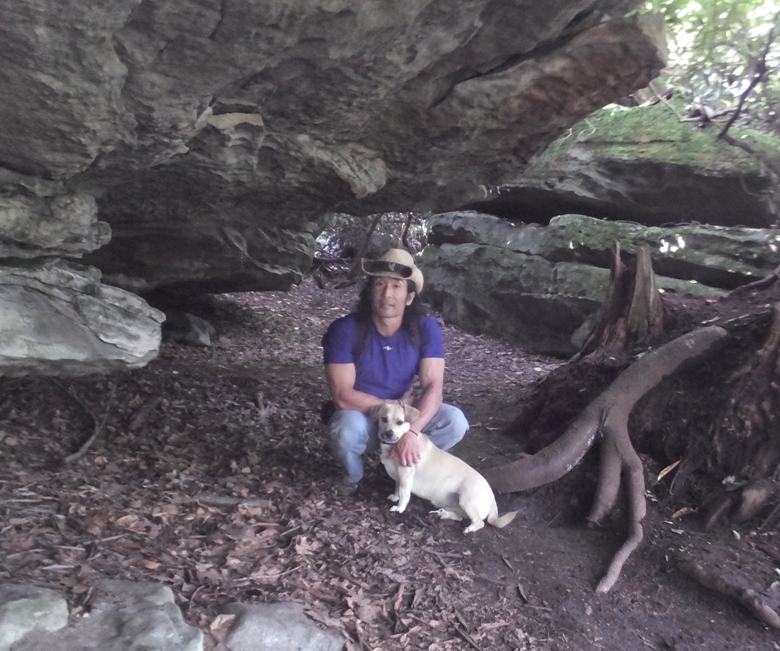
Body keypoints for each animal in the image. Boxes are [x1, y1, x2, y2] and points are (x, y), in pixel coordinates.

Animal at [368, 402, 516, 536]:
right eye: (384, 419)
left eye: (399, 422)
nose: (388, 433)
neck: (395, 445)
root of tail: (492, 498)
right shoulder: (399, 476)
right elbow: (397, 488)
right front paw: (395, 496)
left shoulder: (406, 474)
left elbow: (404, 494)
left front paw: (399, 508)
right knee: (459, 516)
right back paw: (441, 514)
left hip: (467, 500)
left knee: (479, 522)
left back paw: (469, 528)